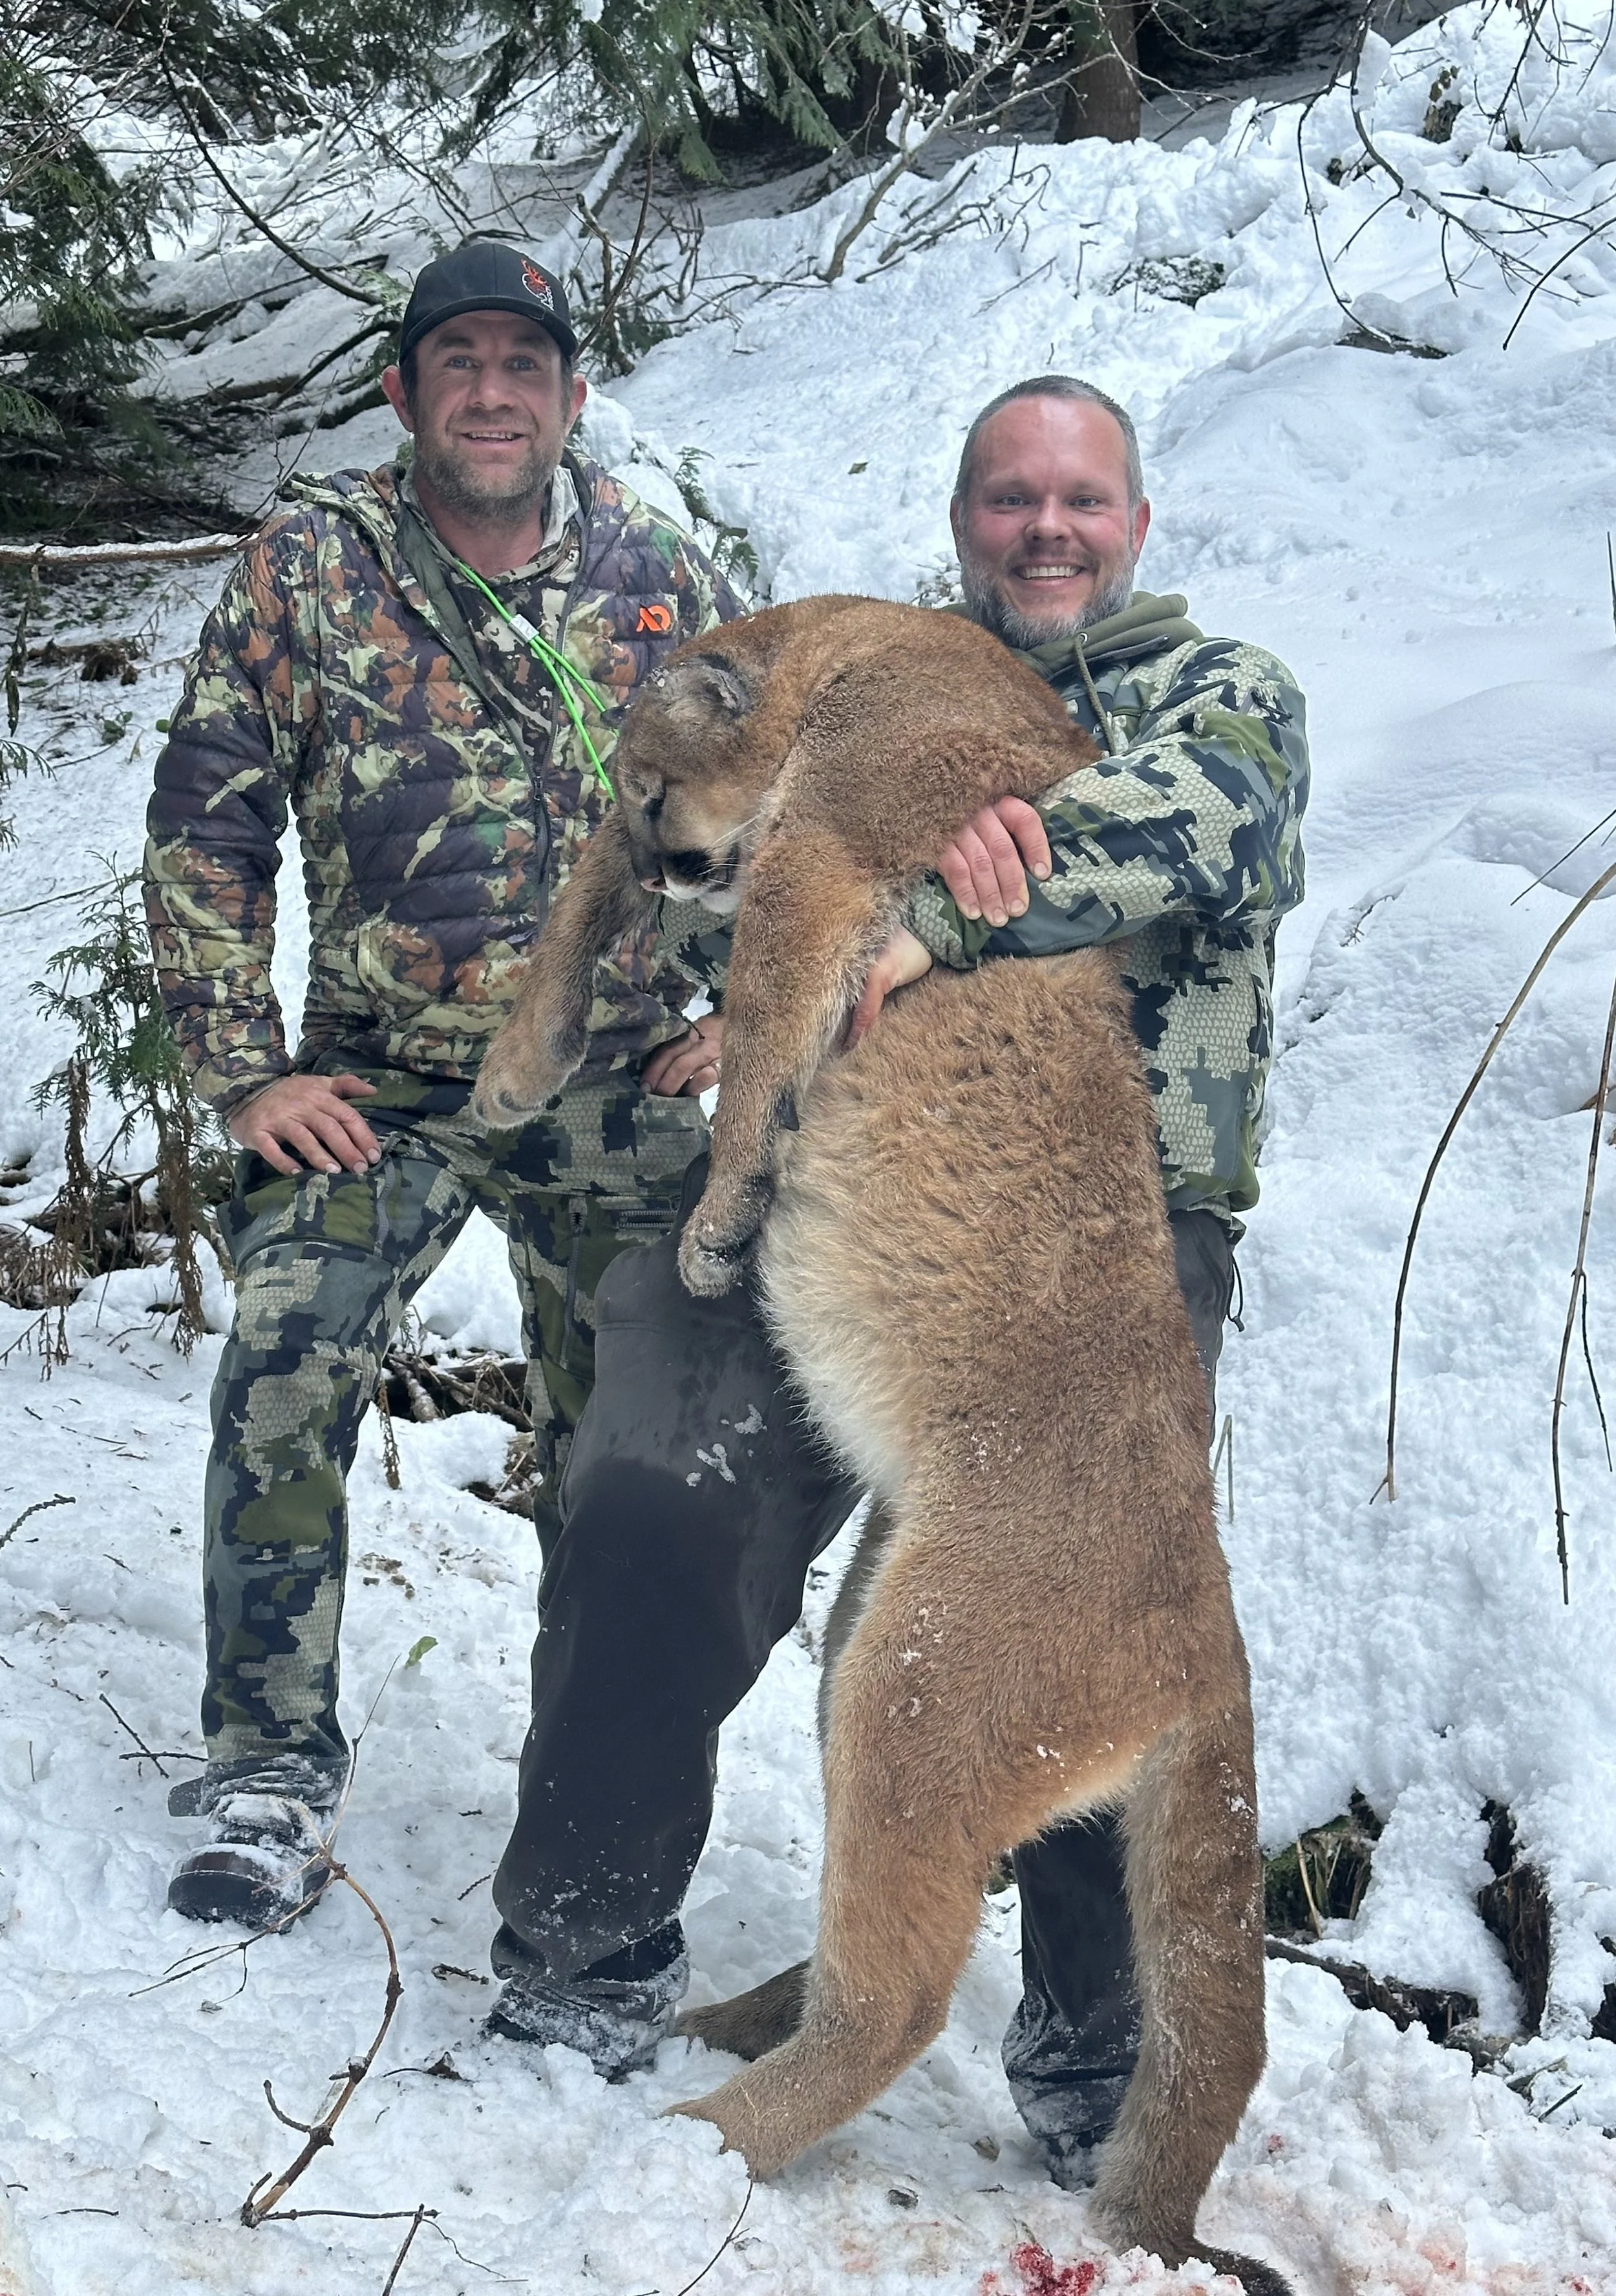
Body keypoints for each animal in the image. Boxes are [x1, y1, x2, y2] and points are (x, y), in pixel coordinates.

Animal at [473, 595, 1289, 2296]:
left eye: (664, 785)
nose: (674, 860)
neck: (843, 656)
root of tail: (1209, 1626)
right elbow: (582, 883)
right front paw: (523, 1056)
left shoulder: (820, 857)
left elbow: (755, 1022)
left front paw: (719, 1211)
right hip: (867, 1636)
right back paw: (723, 2026)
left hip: (918, 1690)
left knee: (901, 1993)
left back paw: (692, 2142)